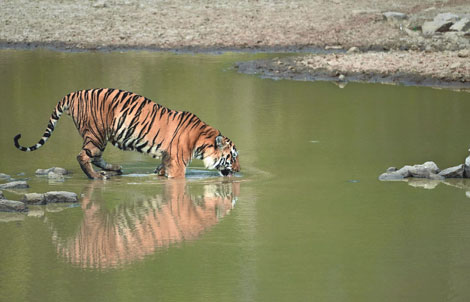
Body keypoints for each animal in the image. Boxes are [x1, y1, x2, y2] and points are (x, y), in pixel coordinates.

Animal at [12, 89, 241, 179]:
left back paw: (114, 169)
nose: (239, 171)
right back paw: (96, 177)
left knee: (95, 157)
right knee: (83, 156)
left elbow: (160, 170)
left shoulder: (167, 157)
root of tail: (73, 94)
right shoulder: (177, 163)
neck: (202, 140)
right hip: (96, 133)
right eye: (233, 157)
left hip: (100, 137)